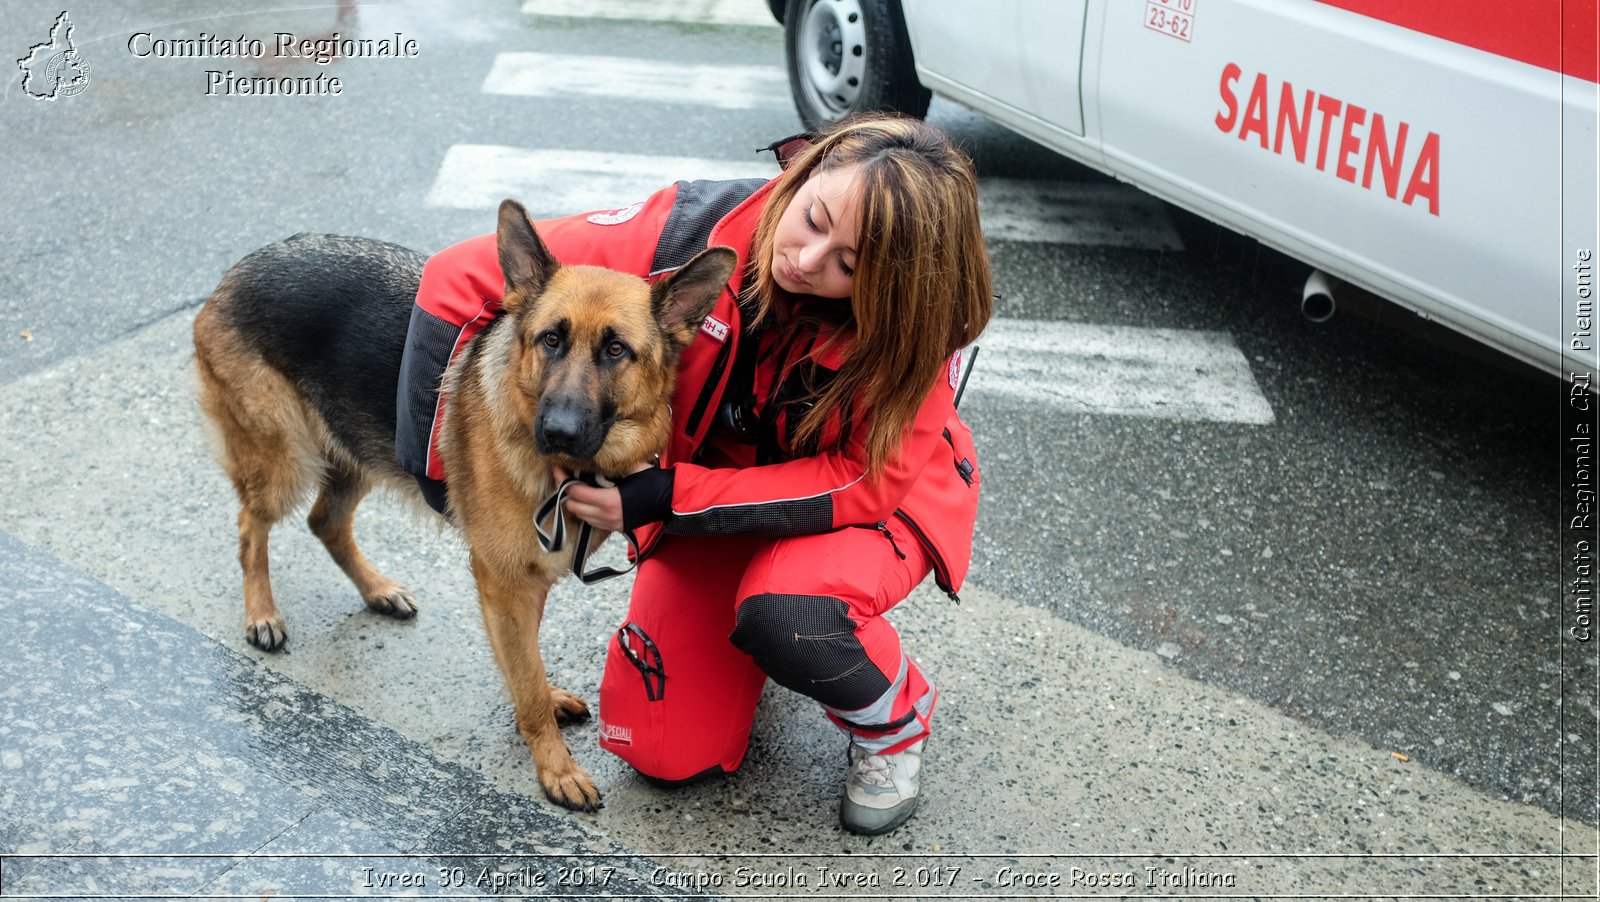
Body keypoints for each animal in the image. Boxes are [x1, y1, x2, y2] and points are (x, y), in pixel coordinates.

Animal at [193, 200, 736, 806]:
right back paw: (262, 613)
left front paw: (541, 701)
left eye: (615, 349)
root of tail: (247, 262)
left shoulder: (526, 581)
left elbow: (525, 657)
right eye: (551, 340)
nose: (557, 432)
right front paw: (556, 768)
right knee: (250, 526)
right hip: (284, 463)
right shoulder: (503, 579)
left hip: (358, 455)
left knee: (324, 522)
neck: (570, 472)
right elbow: (524, 678)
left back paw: (378, 591)